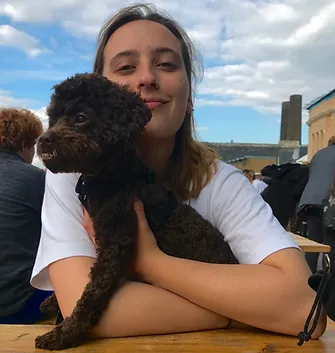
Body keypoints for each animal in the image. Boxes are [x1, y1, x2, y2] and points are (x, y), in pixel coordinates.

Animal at [35, 72, 239, 350]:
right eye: (53, 118)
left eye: (81, 117)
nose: (43, 139)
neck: (113, 176)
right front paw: (53, 302)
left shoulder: (116, 243)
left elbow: (93, 291)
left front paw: (65, 333)